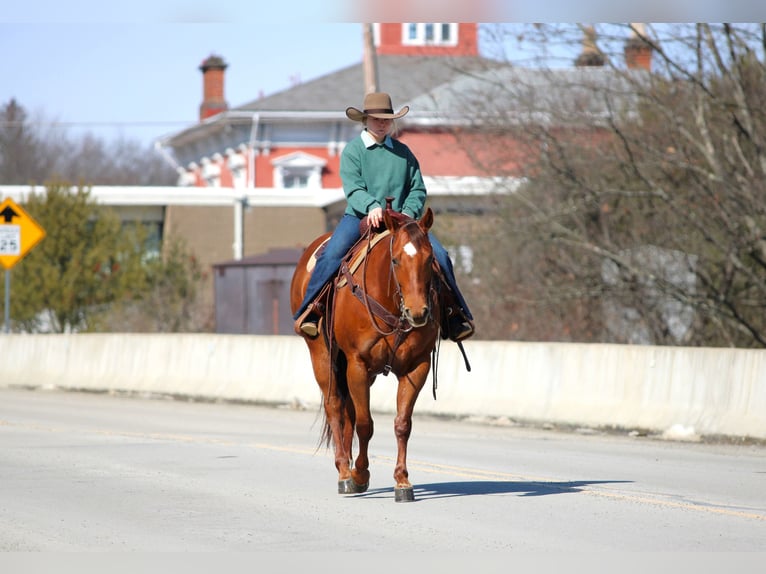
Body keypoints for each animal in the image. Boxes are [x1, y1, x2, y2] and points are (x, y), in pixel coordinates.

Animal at [290, 205, 441, 502]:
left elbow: (402, 424)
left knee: (347, 409)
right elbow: (365, 424)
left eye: (430, 259)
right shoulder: (357, 363)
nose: (418, 312)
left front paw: (402, 480)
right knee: (335, 406)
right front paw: (359, 475)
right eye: (395, 260)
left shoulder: (417, 366)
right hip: (322, 355)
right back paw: (344, 472)